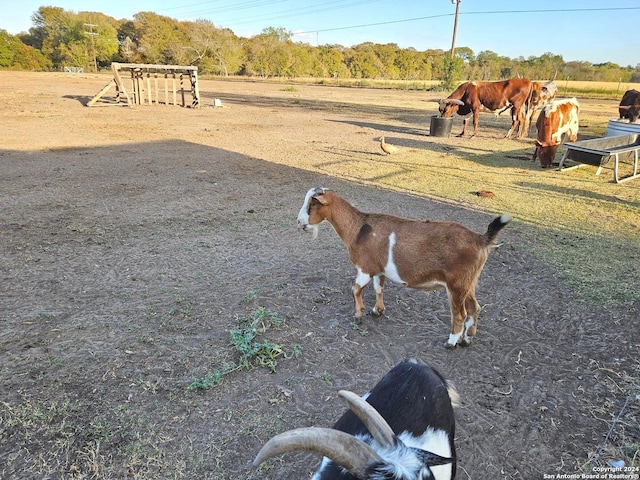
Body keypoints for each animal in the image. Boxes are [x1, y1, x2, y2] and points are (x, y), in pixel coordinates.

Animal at [298, 188, 512, 348]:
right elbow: (378, 288)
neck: (358, 229)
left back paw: (451, 342)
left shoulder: (365, 268)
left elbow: (355, 289)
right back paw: (467, 339)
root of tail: (480, 239)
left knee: (460, 314)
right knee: (474, 308)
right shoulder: (379, 269)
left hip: (456, 284)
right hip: (469, 282)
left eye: (313, 203)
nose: (300, 223)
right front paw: (377, 311)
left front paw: (359, 315)